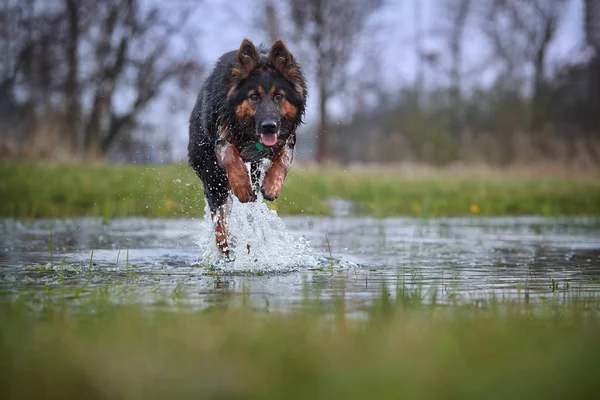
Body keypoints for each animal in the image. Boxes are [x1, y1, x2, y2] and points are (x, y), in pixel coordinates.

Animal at [188, 39, 308, 255]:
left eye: (279, 96)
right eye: (254, 96)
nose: (269, 126)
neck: (249, 132)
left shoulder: (286, 139)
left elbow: (283, 159)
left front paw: (272, 185)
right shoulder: (222, 138)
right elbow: (230, 154)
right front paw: (241, 186)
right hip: (213, 178)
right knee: (220, 222)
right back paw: (226, 249)